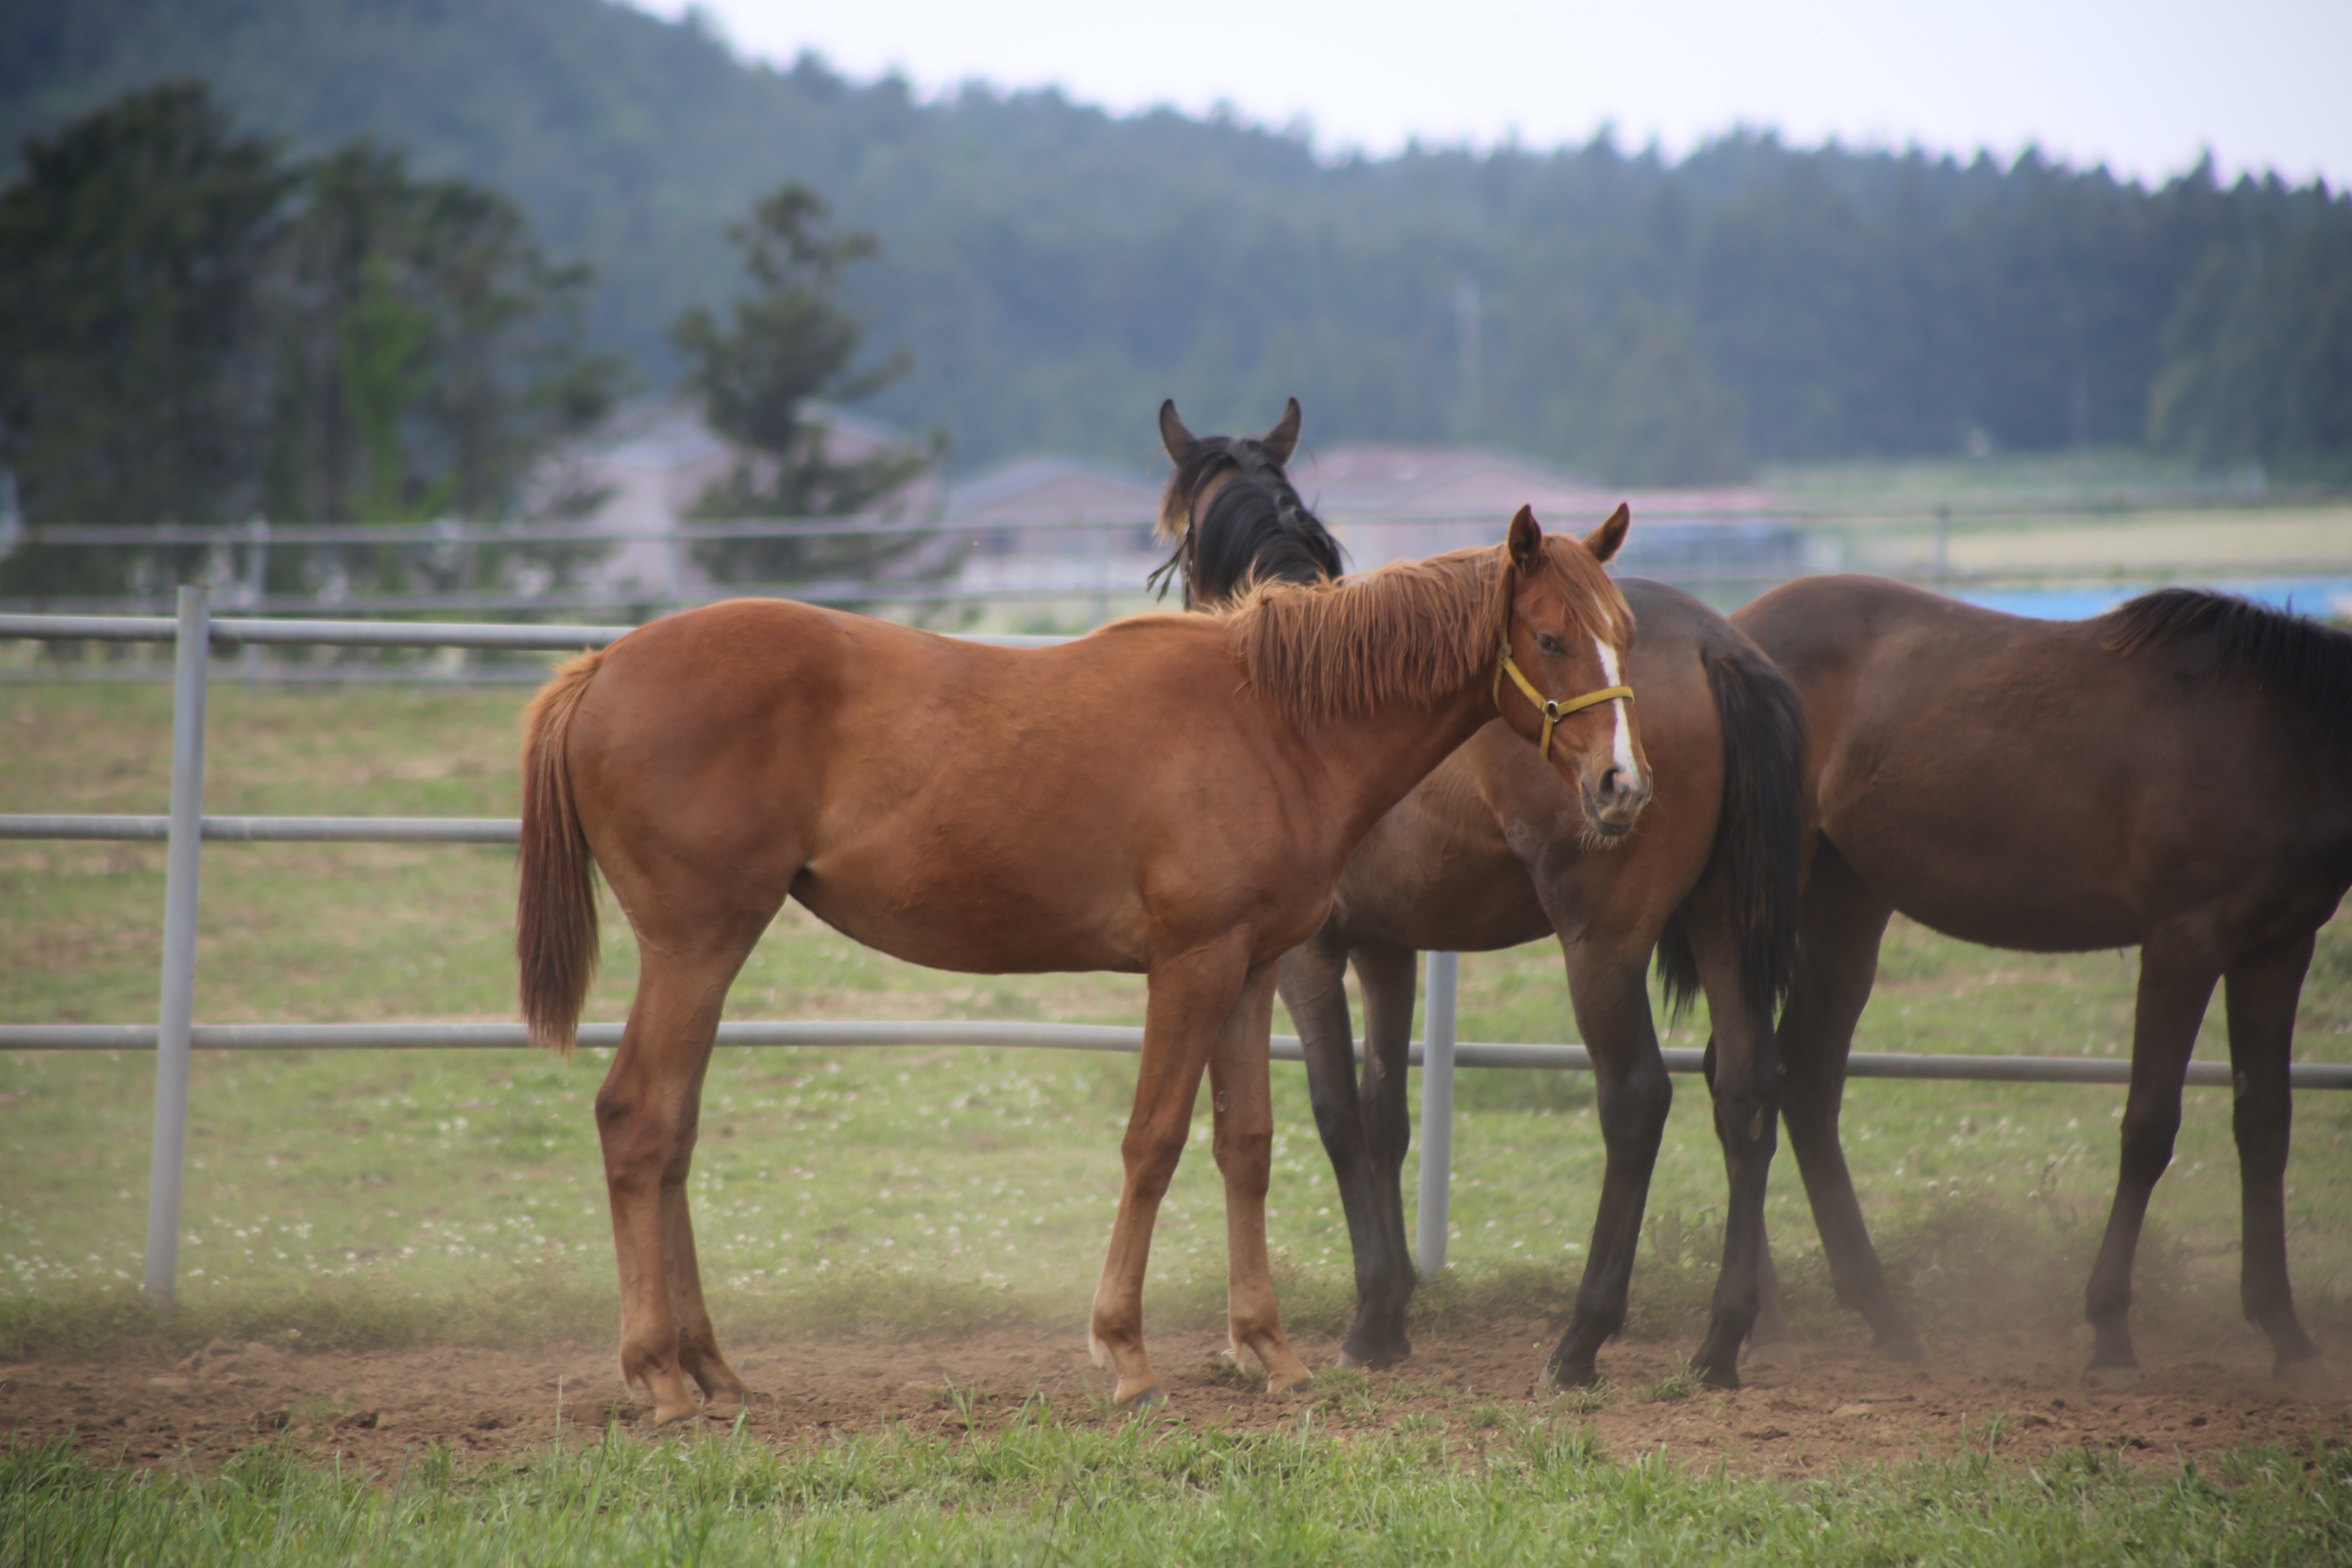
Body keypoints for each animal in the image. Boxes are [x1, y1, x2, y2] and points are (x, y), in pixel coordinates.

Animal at [515, 501, 1656, 1420]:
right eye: (1550, 636)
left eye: (1624, 637)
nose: (1623, 787)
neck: (1272, 721)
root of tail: (600, 668)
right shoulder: (1190, 966)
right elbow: (1152, 1143)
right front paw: (1127, 1357)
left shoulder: (1249, 972)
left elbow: (1245, 1144)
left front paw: (1269, 1352)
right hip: (696, 946)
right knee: (638, 1118)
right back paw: (659, 1373)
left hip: (707, 956)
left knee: (673, 1134)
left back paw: (712, 1367)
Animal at [1166, 402, 1825, 1382]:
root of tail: (1716, 646)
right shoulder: (1388, 949)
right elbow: (1385, 1115)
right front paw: (1392, 1314)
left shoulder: (1309, 959)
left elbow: (1335, 1114)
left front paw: (1371, 1316)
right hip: (1721, 927)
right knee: (1746, 1092)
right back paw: (1719, 1343)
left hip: (1604, 946)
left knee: (1637, 1101)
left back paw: (1583, 1338)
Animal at [1740, 576, 2342, 1382]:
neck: (2283, 736)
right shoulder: (2185, 943)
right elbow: (2150, 1128)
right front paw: (2111, 1333)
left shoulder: (2277, 950)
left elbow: (2266, 1127)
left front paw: (2287, 1334)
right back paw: (1768, 1322)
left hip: (1847, 902)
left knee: (1804, 1084)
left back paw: (1877, 1316)